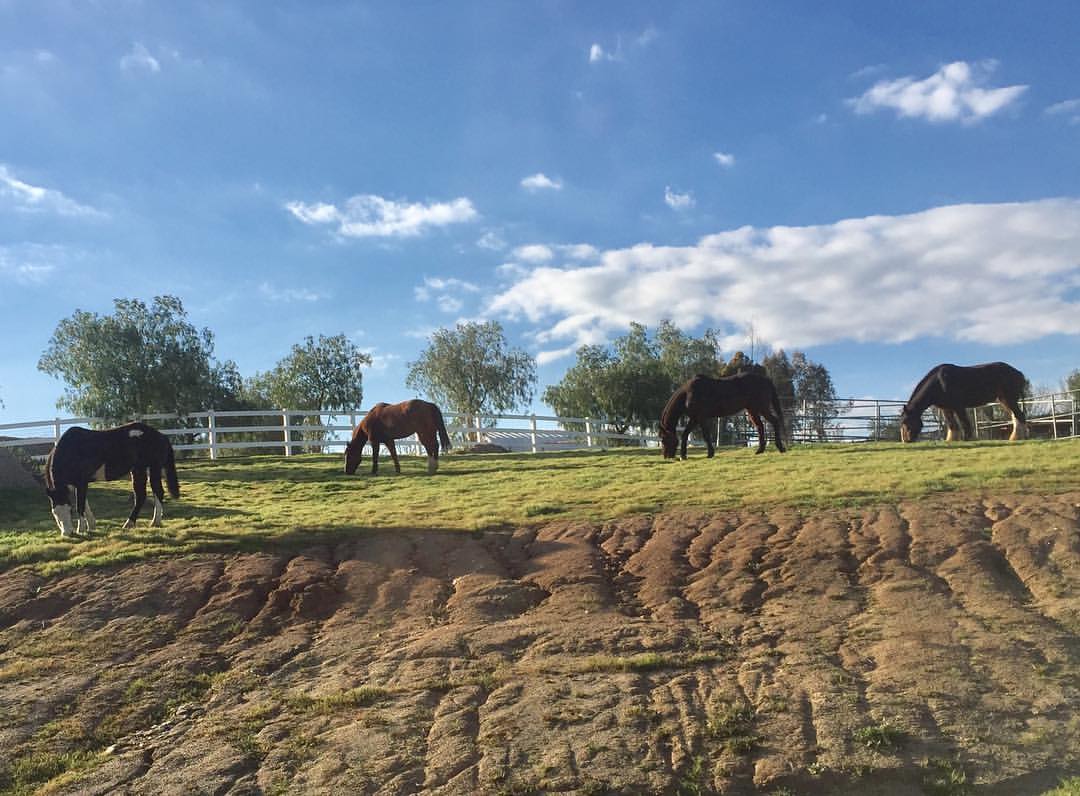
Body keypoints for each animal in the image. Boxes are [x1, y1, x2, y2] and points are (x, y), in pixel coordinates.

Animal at [45, 419, 181, 537]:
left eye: (70, 510)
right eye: (54, 512)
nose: (67, 533)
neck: (72, 450)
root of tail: (161, 436)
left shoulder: (81, 482)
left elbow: (80, 505)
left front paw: (81, 529)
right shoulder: (75, 485)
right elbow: (85, 504)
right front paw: (91, 526)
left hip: (153, 468)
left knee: (158, 492)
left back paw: (154, 522)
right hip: (138, 470)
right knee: (141, 496)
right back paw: (129, 524)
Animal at [656, 371, 786, 460]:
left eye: (663, 440)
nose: (666, 456)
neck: (688, 394)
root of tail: (766, 380)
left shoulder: (700, 418)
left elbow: (705, 435)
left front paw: (710, 454)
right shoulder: (694, 418)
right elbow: (685, 434)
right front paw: (684, 456)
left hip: (762, 408)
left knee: (774, 421)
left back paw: (781, 448)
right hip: (752, 410)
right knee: (760, 427)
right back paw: (760, 450)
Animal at [894, 360, 1028, 440]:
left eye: (907, 423)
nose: (906, 441)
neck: (939, 383)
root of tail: (1019, 373)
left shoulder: (958, 407)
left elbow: (965, 423)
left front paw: (967, 439)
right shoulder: (946, 409)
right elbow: (952, 425)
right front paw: (951, 441)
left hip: (1009, 399)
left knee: (1019, 416)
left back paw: (1016, 438)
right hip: (1004, 401)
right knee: (1016, 417)